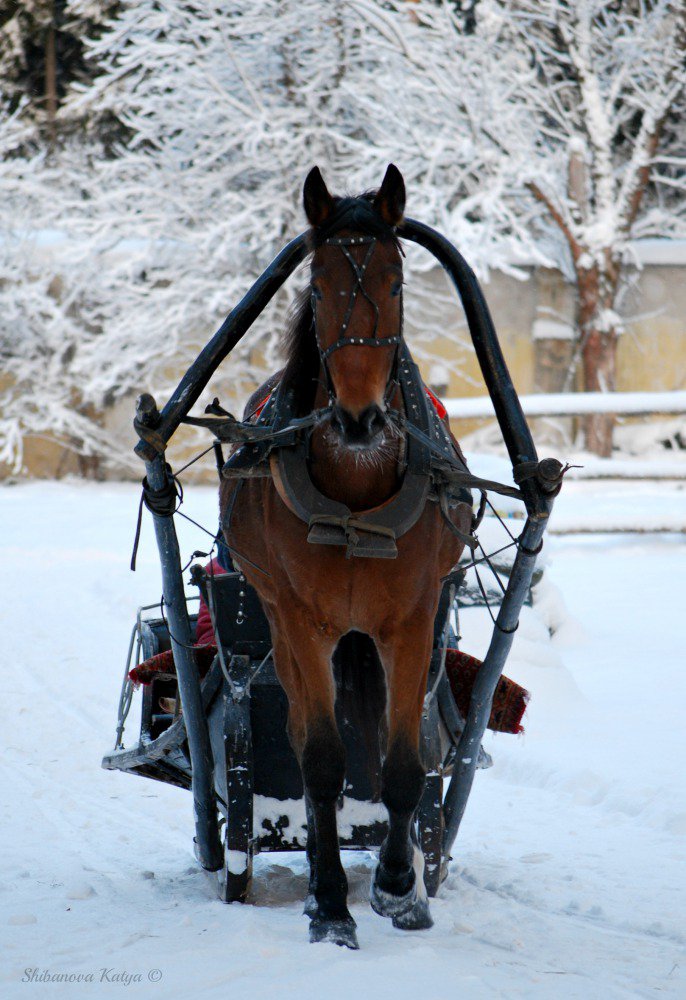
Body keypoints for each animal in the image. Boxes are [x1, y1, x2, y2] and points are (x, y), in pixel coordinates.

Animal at [220, 164, 472, 944]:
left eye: (395, 280)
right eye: (320, 284)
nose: (360, 419)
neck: (358, 488)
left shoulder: (411, 621)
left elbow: (404, 765)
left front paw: (398, 887)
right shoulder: (306, 623)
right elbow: (325, 765)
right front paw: (331, 903)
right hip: (282, 627)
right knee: (304, 742)